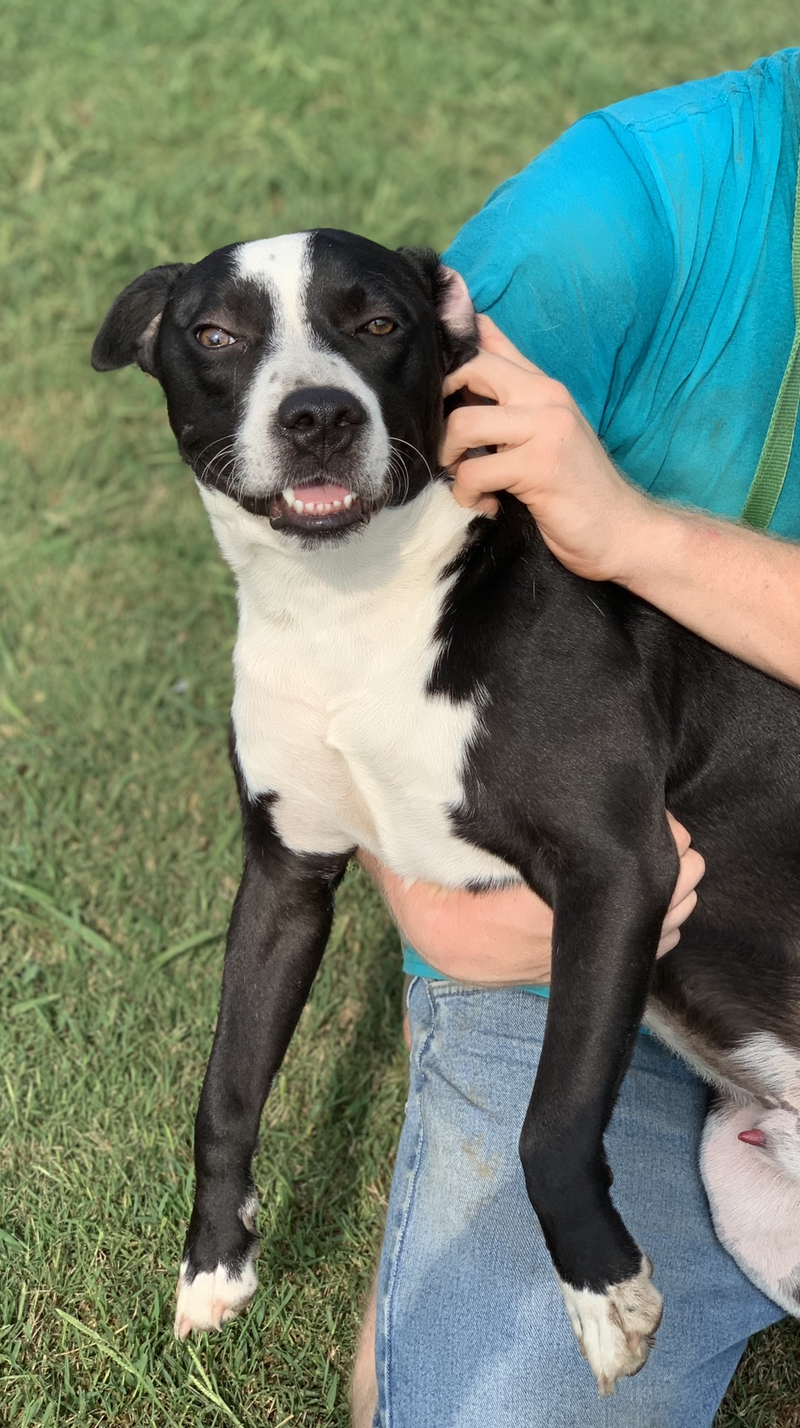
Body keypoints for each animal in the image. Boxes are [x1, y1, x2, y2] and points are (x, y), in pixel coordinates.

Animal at [90, 231, 800, 1393]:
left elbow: (549, 1121)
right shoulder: (285, 876)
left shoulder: (619, 865)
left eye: (378, 322)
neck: (348, 606)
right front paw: (214, 1261)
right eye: (217, 333)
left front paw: (601, 1294)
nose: (318, 416)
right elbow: (223, 1089)